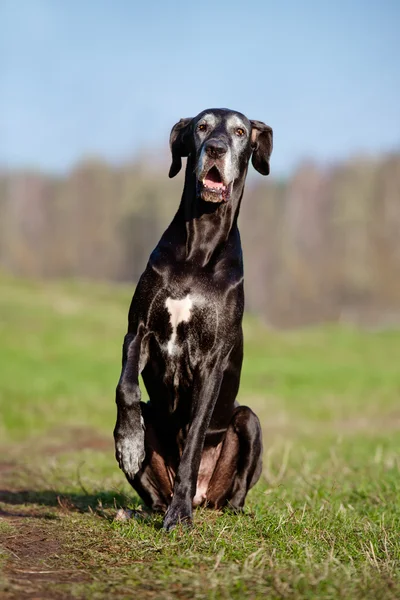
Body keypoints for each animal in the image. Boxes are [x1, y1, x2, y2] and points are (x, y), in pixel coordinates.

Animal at [114, 108, 274, 528]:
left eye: (240, 131)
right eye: (201, 126)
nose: (216, 148)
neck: (198, 248)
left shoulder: (212, 359)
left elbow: (196, 433)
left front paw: (180, 515)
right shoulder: (138, 331)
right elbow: (126, 389)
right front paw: (129, 444)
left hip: (248, 421)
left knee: (235, 490)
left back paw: (216, 507)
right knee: (153, 495)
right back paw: (135, 509)